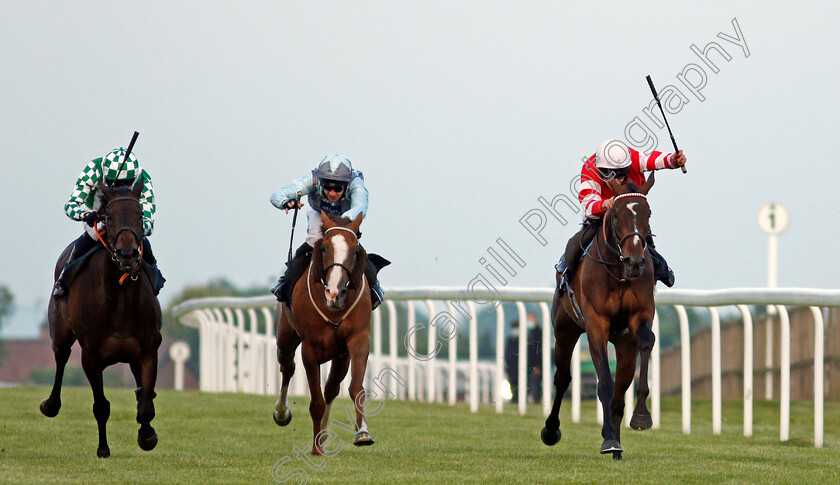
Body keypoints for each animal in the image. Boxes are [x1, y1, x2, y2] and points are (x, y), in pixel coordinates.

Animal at [40, 181, 162, 458]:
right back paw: (50, 405)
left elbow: (145, 404)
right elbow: (101, 406)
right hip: (60, 332)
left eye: (140, 214)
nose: (128, 254)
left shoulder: (148, 349)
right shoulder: (91, 356)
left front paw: (147, 435)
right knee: (61, 358)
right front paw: (103, 449)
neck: (120, 300)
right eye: (110, 216)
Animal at [272, 211, 374, 454]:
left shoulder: (358, 340)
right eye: (325, 248)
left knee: (331, 388)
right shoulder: (310, 350)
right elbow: (315, 401)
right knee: (287, 368)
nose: (335, 292)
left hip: (340, 355)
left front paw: (362, 433)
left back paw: (325, 434)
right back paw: (281, 413)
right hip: (285, 338)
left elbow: (356, 388)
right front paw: (316, 449)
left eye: (355, 250)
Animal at [540, 173, 660, 458]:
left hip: (624, 346)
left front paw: (641, 416)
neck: (617, 271)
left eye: (648, 213)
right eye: (615, 214)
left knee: (620, 390)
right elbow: (603, 381)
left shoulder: (640, 315)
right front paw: (609, 440)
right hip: (564, 330)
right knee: (563, 378)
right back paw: (552, 430)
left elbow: (646, 341)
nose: (635, 261)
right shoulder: (596, 324)